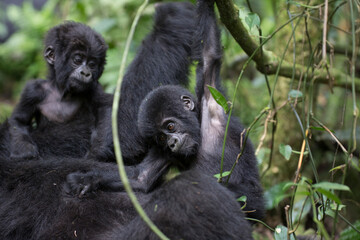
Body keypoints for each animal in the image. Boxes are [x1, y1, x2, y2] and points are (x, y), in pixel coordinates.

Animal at [8, 21, 107, 160]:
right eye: (77, 60)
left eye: (92, 64)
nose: (86, 73)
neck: (61, 89)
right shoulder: (32, 91)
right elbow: (19, 121)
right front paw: (24, 150)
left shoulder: (95, 89)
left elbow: (105, 112)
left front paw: (96, 152)